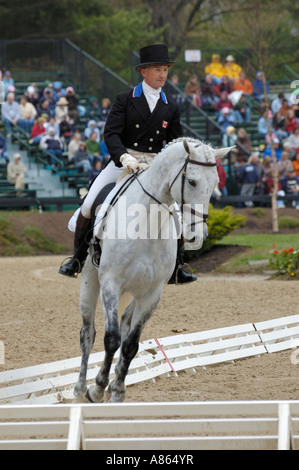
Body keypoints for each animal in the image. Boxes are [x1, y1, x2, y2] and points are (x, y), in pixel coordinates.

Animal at [74, 138, 233, 402]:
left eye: (215, 184)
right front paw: (96, 389)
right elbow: (111, 338)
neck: (147, 224)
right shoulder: (110, 283)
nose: (197, 236)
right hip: (90, 282)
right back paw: (79, 389)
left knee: (125, 323)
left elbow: (130, 344)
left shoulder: (152, 293)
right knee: (88, 332)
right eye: (192, 181)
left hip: (136, 291)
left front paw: (117, 391)